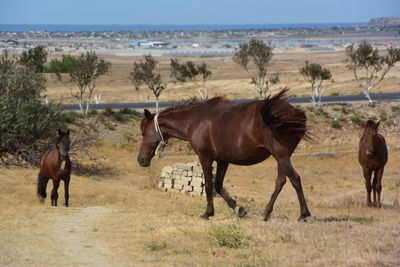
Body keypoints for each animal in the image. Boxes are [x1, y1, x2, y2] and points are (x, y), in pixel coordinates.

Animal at [138, 89, 312, 221]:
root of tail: (294, 112)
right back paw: (266, 213)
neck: (196, 120)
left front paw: (208, 213)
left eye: (143, 132)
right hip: (281, 157)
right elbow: (218, 185)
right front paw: (238, 208)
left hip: (281, 155)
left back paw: (304, 214)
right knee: (281, 181)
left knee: (295, 179)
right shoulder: (223, 160)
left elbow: (209, 185)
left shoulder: (205, 158)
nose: (141, 160)